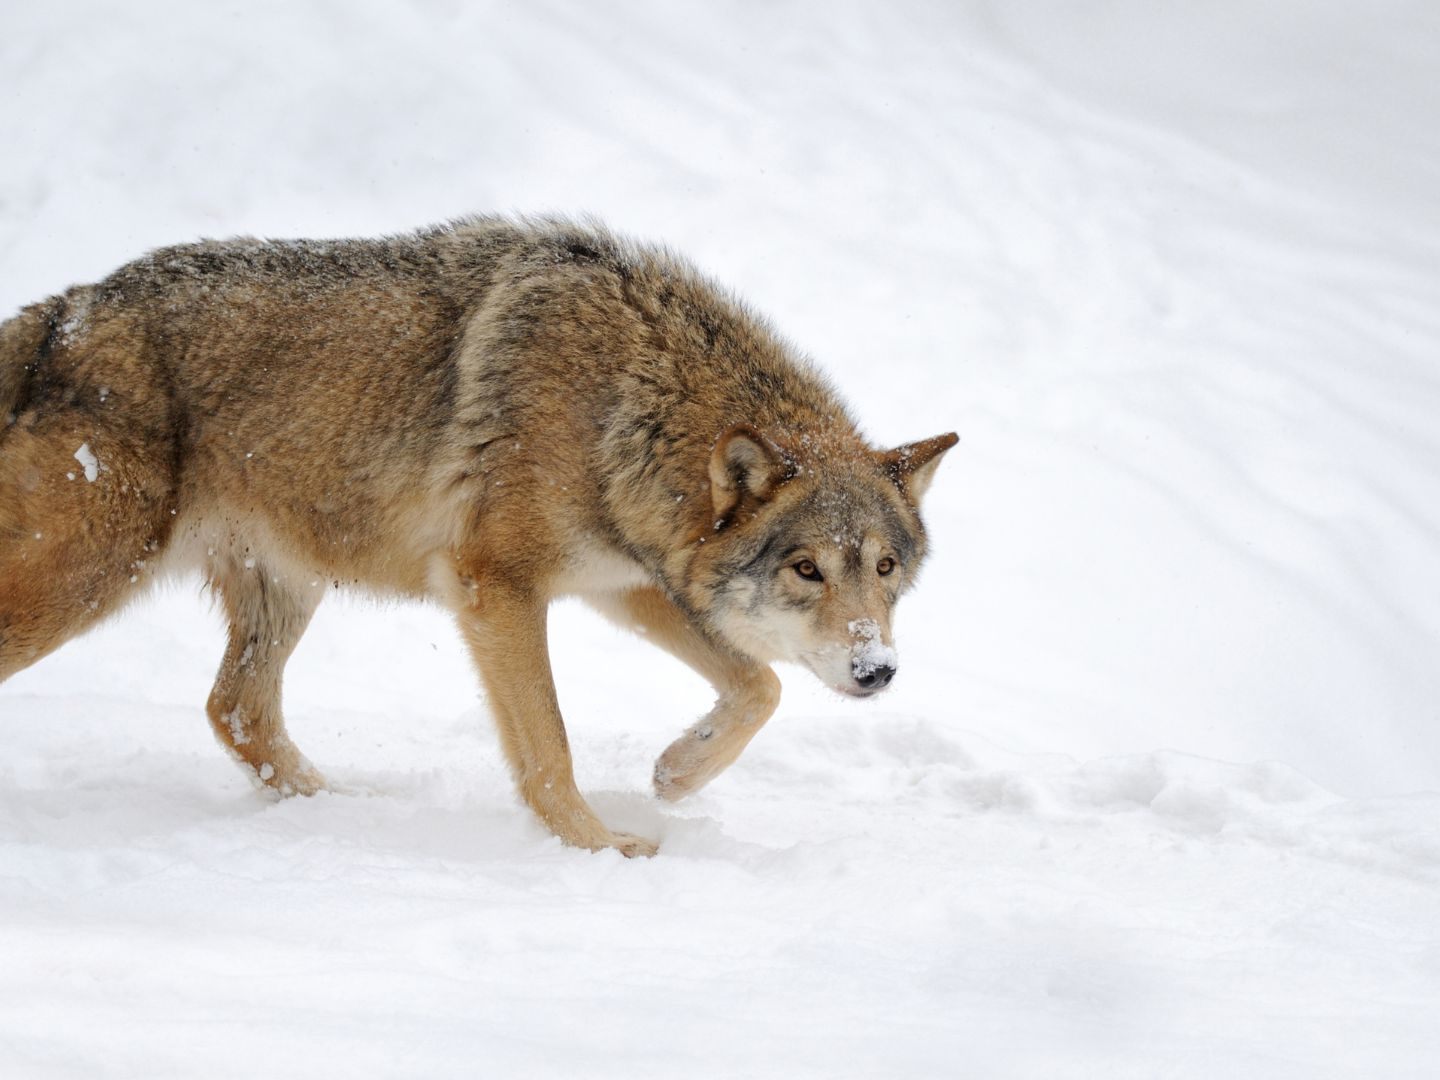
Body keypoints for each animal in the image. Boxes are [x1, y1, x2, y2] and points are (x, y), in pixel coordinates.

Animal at [0, 216, 955, 856]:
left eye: (884, 568)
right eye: (806, 568)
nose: (878, 670)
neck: (627, 400)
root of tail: (65, 310)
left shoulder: (625, 583)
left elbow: (760, 686)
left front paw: (676, 774)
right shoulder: (495, 588)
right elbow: (551, 750)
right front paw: (601, 849)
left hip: (285, 588)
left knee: (236, 712)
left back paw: (344, 809)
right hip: (85, 581)